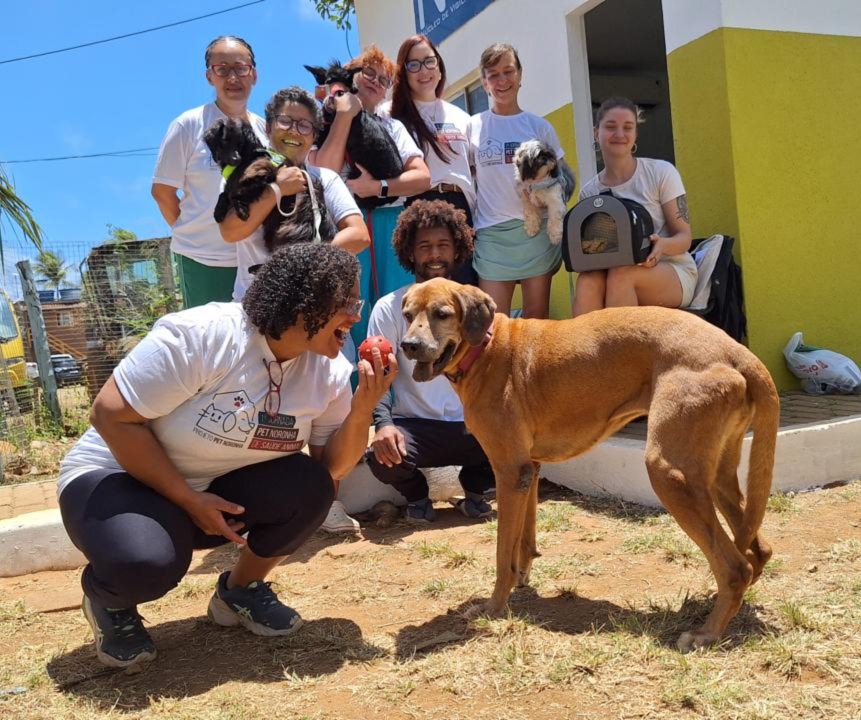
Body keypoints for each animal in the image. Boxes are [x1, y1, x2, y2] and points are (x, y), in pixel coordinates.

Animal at [203, 115, 334, 253]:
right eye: (224, 141)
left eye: (240, 143)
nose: (235, 159)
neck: (247, 157)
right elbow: (224, 193)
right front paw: (218, 211)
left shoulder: (264, 173)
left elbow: (237, 192)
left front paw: (241, 209)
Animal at [402, 278, 780, 648]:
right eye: (407, 314)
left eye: (442, 314)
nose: (408, 345)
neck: (486, 348)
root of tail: (739, 352)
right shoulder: (529, 470)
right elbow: (524, 539)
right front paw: (523, 577)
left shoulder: (509, 472)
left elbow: (501, 554)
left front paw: (494, 606)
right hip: (715, 475)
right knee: (758, 550)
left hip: (671, 473)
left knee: (736, 567)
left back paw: (706, 633)